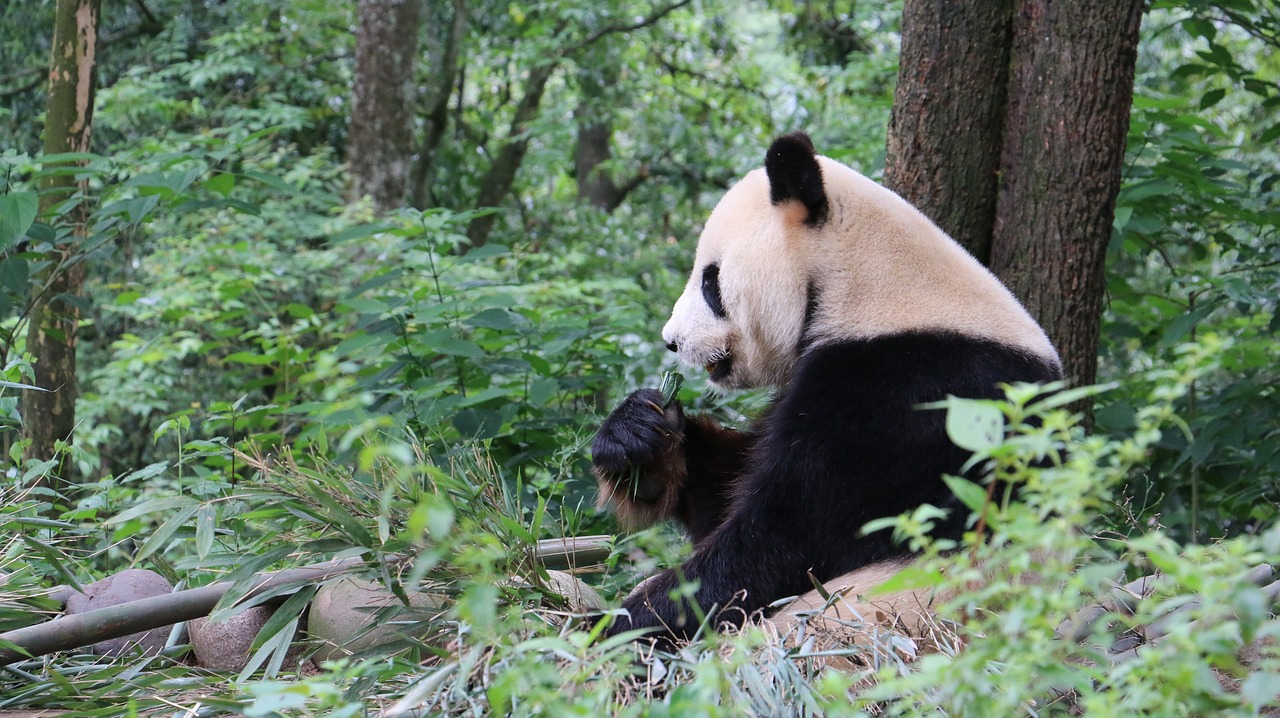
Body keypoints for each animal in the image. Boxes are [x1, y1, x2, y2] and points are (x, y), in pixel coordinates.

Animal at [593, 129, 1064, 645]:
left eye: (711, 282)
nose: (672, 341)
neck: (872, 287)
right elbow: (724, 489)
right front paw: (640, 438)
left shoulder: (903, 401)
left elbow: (783, 541)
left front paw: (628, 623)